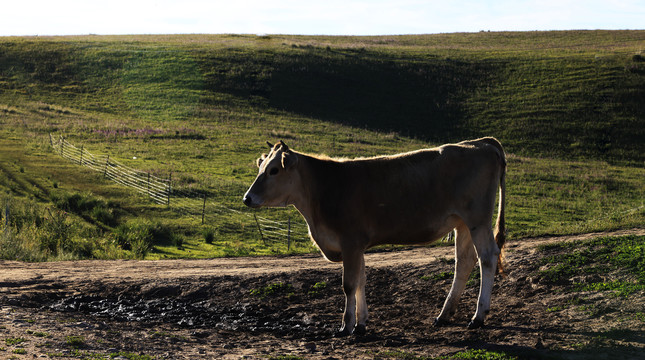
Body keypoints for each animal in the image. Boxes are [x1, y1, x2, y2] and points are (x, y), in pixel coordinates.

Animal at [244, 139, 506, 338]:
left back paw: (478, 316)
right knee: (464, 262)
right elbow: (361, 280)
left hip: (478, 220)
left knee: (487, 258)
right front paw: (360, 324)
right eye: (261, 167)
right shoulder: (357, 246)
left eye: (274, 170)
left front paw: (346, 326)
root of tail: (480, 143)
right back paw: (444, 315)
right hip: (462, 223)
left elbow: (349, 284)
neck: (324, 189)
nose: (247, 198)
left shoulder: (350, 242)